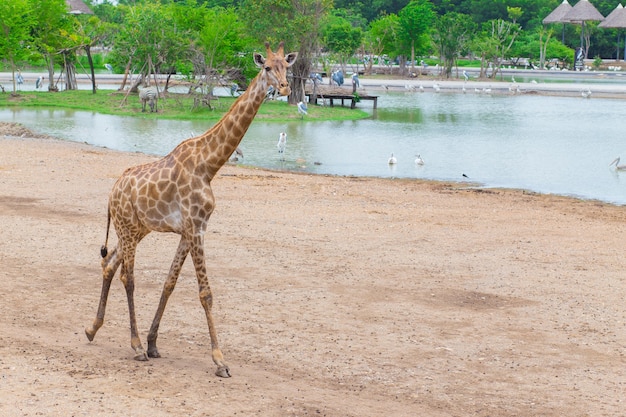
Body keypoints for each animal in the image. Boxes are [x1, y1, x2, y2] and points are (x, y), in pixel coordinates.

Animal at [85, 42, 298, 376]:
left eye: (287, 67)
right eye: (266, 67)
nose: (285, 87)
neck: (209, 165)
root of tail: (111, 193)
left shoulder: (189, 230)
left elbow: (169, 283)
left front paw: (154, 343)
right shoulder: (196, 228)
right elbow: (205, 293)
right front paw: (219, 360)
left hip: (136, 230)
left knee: (109, 265)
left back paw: (93, 329)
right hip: (127, 229)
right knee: (127, 278)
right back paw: (134, 346)